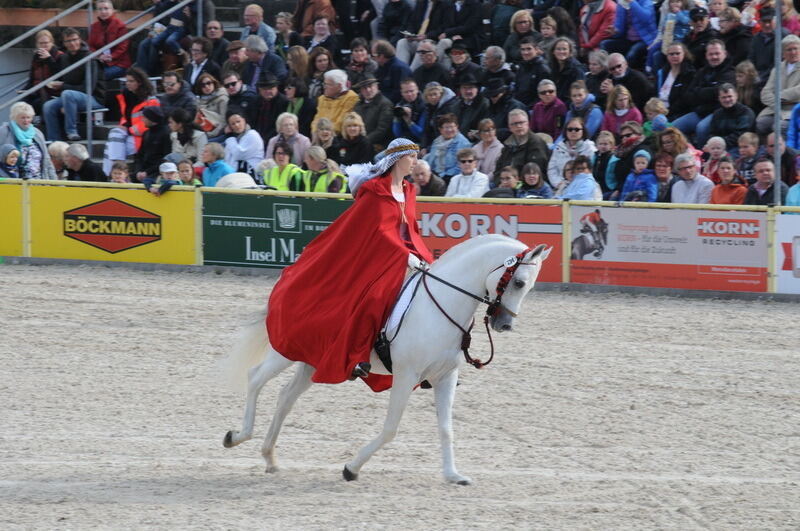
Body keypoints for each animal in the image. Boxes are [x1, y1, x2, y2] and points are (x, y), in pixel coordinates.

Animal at [219, 235, 552, 484]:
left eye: (531, 286)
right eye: (519, 282)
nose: (504, 325)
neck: (443, 304)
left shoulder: (446, 377)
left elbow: (446, 428)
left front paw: (453, 475)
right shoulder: (406, 376)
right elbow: (391, 428)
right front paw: (351, 468)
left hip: (312, 363)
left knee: (286, 397)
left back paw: (270, 457)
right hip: (287, 352)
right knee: (256, 378)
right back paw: (237, 436)